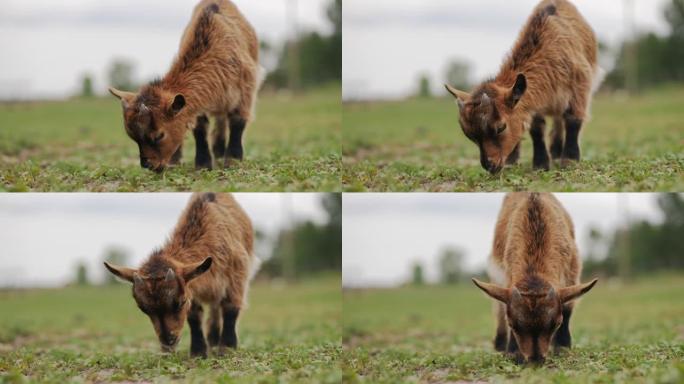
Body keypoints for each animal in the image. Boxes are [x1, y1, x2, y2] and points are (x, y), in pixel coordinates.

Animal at [104, 192, 256, 356]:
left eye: (180, 303)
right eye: (143, 309)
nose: (168, 343)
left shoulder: (237, 274)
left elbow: (231, 308)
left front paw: (227, 348)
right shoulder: (192, 287)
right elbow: (194, 316)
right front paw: (198, 352)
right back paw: (213, 340)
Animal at [109, 0, 264, 172]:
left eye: (159, 136)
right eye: (134, 137)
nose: (148, 165)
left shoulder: (246, 89)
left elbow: (237, 122)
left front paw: (233, 161)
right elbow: (200, 127)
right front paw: (203, 165)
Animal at [444, 0, 600, 174]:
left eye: (500, 128)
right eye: (470, 135)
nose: (490, 166)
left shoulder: (579, 86)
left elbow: (573, 119)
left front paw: (569, 160)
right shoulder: (534, 102)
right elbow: (536, 128)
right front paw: (540, 164)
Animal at [472, 194, 596, 364]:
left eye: (556, 324)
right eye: (513, 325)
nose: (535, 360)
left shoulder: (572, 272)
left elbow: (567, 308)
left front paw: (563, 347)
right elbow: (503, 308)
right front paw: (513, 352)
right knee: (497, 307)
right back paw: (499, 344)